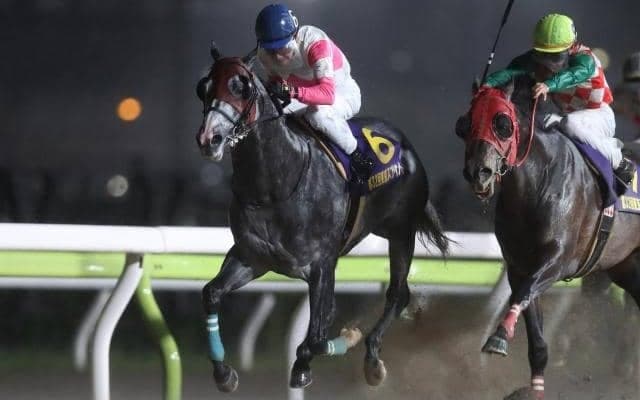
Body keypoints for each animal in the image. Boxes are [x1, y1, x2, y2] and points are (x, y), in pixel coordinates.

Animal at [194, 45, 449, 392]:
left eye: (241, 87)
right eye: (203, 87)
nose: (210, 138)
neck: (275, 186)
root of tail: (406, 145)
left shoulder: (322, 265)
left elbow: (317, 332)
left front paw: (335, 345)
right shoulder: (252, 257)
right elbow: (211, 294)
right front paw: (224, 373)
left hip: (401, 231)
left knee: (397, 294)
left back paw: (373, 360)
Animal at [457, 74, 640, 399]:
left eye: (502, 123)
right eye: (465, 124)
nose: (479, 173)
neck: (537, 183)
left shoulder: (557, 263)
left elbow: (525, 294)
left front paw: (498, 337)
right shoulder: (519, 267)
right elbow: (536, 339)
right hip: (625, 266)